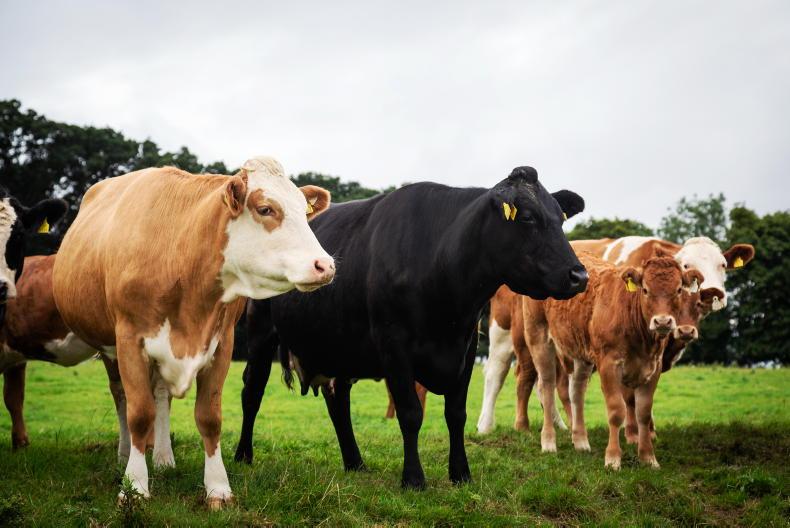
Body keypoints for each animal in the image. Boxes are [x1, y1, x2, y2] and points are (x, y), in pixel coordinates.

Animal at [51, 157, 334, 508]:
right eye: (266, 209)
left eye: (302, 209)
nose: (325, 265)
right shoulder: (129, 339)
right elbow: (139, 414)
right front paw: (134, 487)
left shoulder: (221, 344)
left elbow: (209, 417)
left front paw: (218, 488)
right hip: (108, 347)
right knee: (121, 397)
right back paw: (124, 454)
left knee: (160, 395)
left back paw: (162, 457)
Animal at [234, 166, 589, 490]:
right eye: (527, 217)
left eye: (560, 218)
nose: (579, 275)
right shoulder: (394, 344)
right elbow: (410, 413)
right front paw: (414, 479)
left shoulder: (466, 346)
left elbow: (456, 414)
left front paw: (461, 474)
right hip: (261, 330)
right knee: (252, 390)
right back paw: (243, 456)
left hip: (339, 344)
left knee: (338, 401)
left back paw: (355, 463)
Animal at [522, 253, 708, 468]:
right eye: (645, 289)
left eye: (678, 290)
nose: (662, 321)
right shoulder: (609, 364)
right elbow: (616, 410)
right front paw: (612, 458)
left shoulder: (653, 367)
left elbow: (644, 413)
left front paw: (648, 458)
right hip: (538, 335)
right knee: (547, 385)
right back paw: (548, 442)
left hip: (581, 351)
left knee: (576, 391)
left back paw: (581, 441)